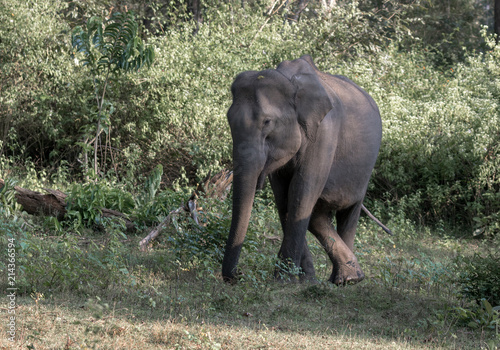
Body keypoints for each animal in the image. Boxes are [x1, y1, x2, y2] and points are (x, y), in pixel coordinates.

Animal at [223, 54, 386, 284]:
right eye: (228, 119)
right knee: (317, 215)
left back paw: (347, 280)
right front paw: (304, 279)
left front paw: (283, 280)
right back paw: (345, 276)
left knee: (348, 213)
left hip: (365, 170)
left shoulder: (325, 132)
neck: (289, 80)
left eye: (267, 122)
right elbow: (284, 199)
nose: (239, 274)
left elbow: (300, 192)